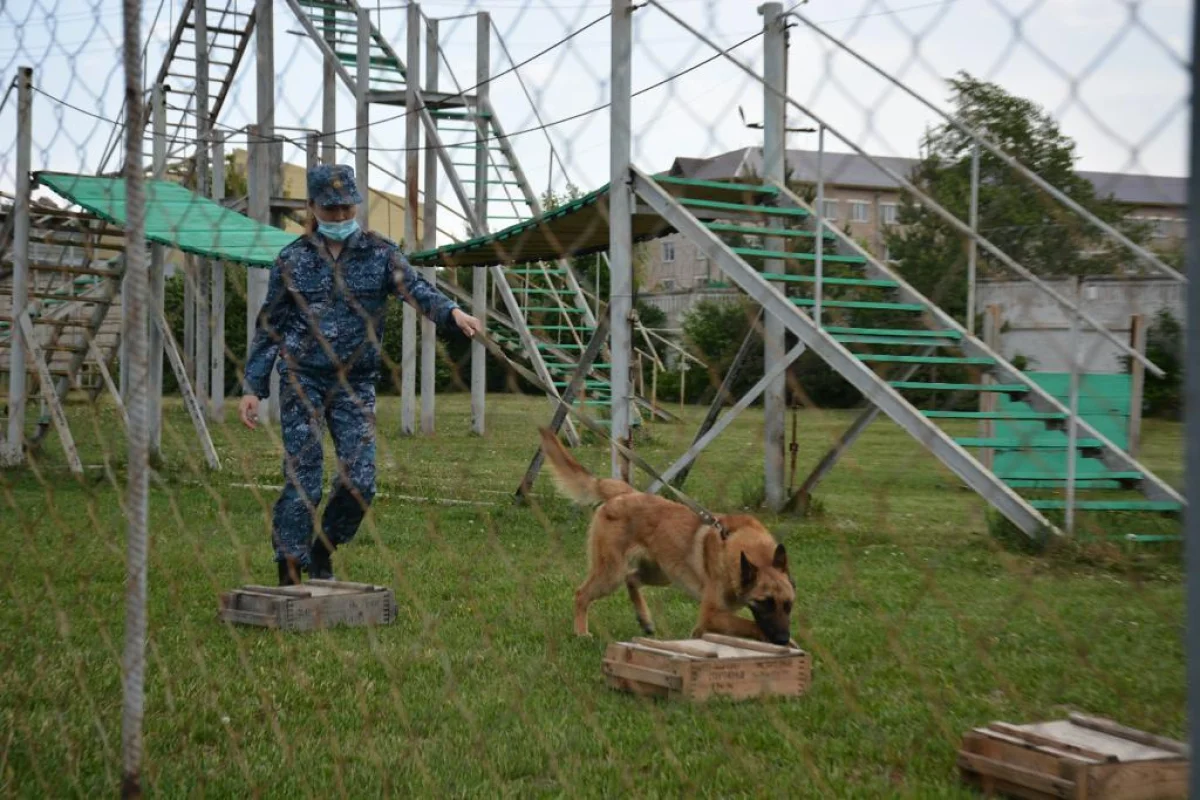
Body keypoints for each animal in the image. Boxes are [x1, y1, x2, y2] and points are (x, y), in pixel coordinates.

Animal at [537, 429, 796, 647]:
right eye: (765, 602)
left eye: (789, 605)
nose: (782, 639)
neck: (740, 548)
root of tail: (624, 492)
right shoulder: (711, 616)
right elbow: (751, 624)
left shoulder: (715, 617)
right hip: (612, 573)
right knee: (582, 594)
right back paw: (581, 632)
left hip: (661, 573)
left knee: (632, 578)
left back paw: (644, 619)